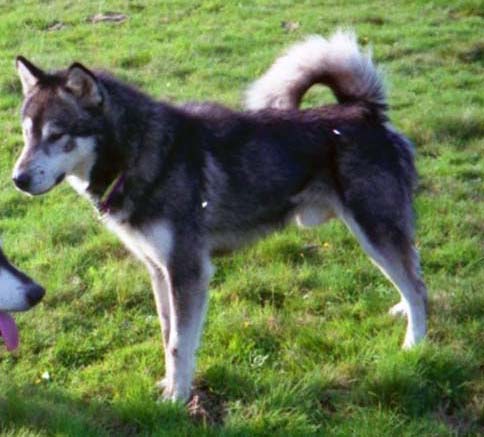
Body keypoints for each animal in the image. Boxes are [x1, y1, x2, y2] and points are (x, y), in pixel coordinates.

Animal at [11, 29, 428, 398]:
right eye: (27, 133)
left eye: (57, 134)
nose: (18, 179)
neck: (138, 153)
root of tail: (362, 110)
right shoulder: (159, 271)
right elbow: (167, 336)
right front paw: (168, 385)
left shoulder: (188, 271)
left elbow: (180, 345)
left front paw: (177, 400)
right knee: (409, 276)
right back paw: (402, 310)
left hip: (374, 229)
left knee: (418, 286)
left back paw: (415, 345)